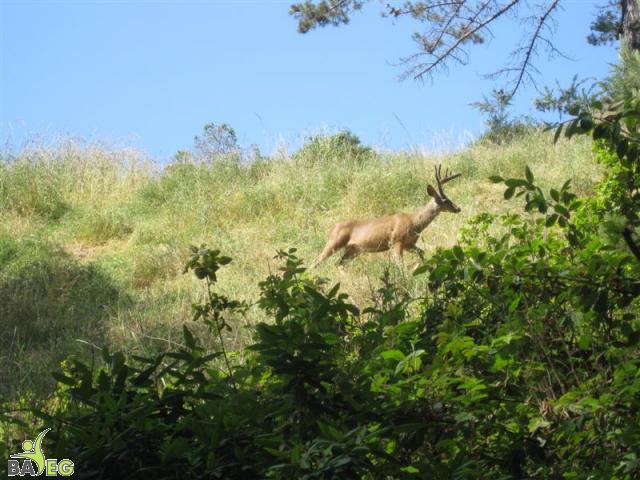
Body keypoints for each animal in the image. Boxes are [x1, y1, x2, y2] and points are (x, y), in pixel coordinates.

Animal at [311, 165, 462, 267]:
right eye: (445, 200)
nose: (458, 208)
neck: (415, 222)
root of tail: (333, 228)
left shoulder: (410, 244)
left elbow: (422, 253)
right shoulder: (396, 240)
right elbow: (400, 264)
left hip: (353, 249)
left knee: (339, 264)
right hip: (335, 242)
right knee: (317, 260)